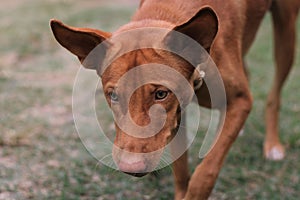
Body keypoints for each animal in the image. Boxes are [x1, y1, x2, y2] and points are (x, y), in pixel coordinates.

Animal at [50, 0, 298, 198]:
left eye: (161, 94)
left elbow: (205, 172)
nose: (131, 167)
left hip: (286, 31)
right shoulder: (175, 120)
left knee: (274, 94)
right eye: (113, 96)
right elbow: (181, 173)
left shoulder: (241, 101)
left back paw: (272, 145)